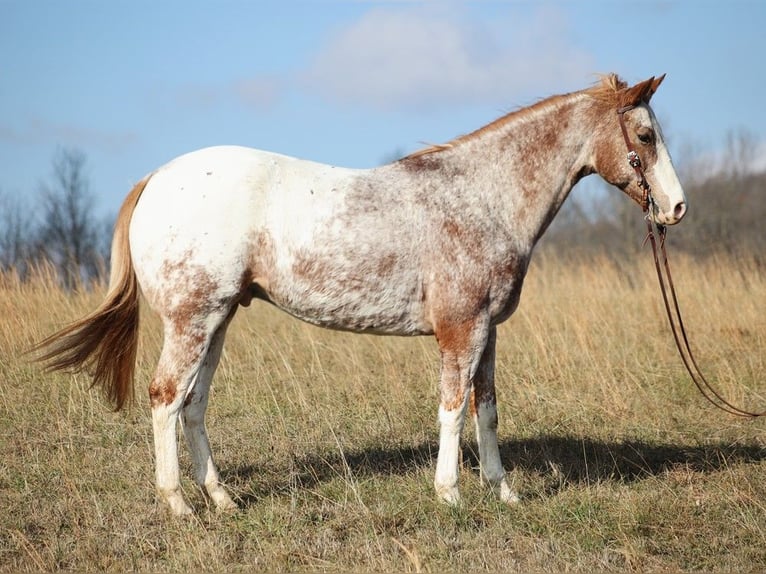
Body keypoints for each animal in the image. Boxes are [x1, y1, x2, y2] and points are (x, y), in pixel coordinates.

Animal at [36, 73, 688, 516]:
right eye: (646, 134)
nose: (677, 208)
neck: (481, 196)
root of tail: (157, 178)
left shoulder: (488, 329)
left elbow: (487, 408)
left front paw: (503, 492)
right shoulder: (460, 329)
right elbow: (453, 408)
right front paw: (450, 495)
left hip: (217, 322)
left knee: (193, 405)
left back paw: (221, 499)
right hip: (192, 320)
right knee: (166, 397)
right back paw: (178, 504)